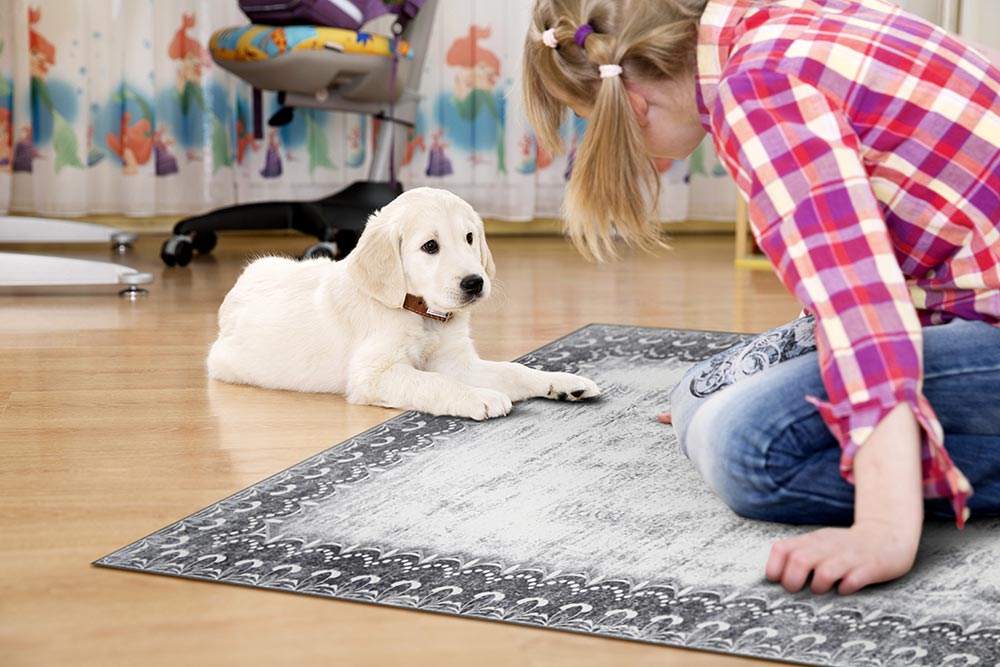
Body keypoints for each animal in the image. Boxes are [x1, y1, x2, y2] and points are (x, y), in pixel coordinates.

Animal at [206, 185, 596, 420]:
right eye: (430, 246)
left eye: (470, 237)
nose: (475, 283)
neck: (421, 314)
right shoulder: (374, 375)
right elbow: (434, 383)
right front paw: (481, 396)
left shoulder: (456, 361)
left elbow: (514, 370)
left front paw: (561, 382)